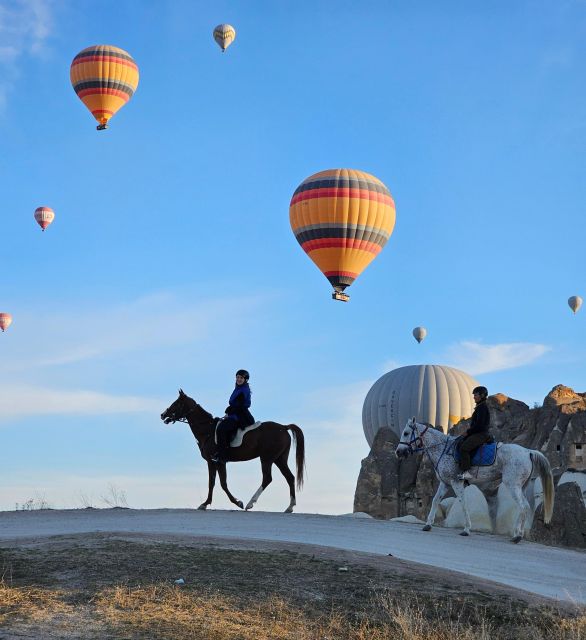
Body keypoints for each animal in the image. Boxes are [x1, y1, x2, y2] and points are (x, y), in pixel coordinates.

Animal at [160, 388, 306, 512]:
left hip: (267, 459)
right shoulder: (213, 462)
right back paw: (290, 507)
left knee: (267, 478)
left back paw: (250, 503)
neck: (207, 430)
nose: (163, 415)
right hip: (279, 459)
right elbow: (212, 483)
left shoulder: (217, 461)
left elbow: (222, 483)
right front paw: (206, 503)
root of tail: (283, 427)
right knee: (290, 477)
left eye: (177, 403)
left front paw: (237, 502)